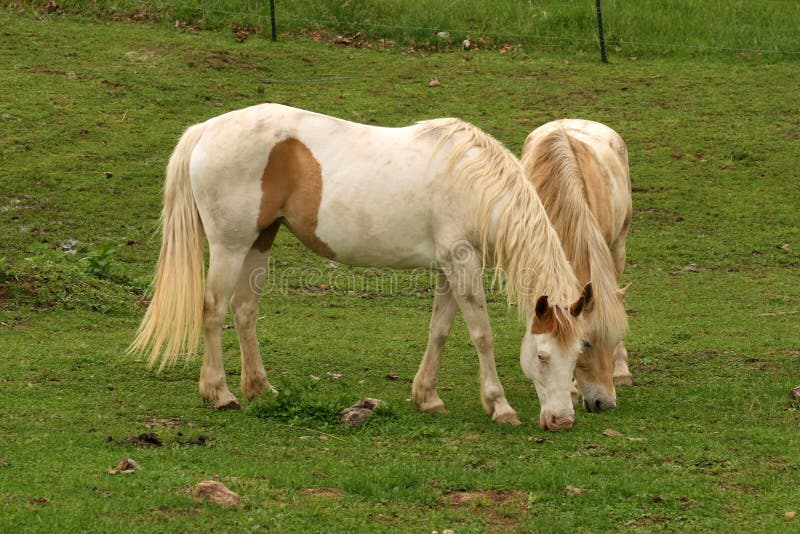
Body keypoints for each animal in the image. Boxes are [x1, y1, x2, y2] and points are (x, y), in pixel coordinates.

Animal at [128, 103, 592, 432]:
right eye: (542, 355)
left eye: (579, 354)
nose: (562, 420)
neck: (472, 183)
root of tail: (207, 129)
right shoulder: (463, 262)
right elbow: (481, 334)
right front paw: (499, 405)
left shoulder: (449, 266)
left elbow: (440, 330)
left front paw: (427, 397)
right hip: (229, 245)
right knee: (212, 309)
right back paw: (220, 392)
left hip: (260, 240)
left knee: (244, 311)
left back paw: (261, 388)